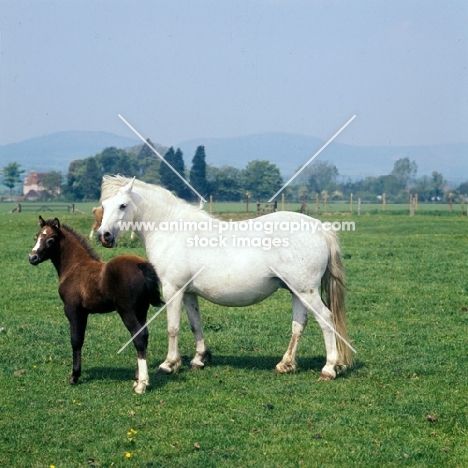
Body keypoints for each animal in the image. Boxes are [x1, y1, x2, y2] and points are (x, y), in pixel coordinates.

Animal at [99, 174, 354, 386]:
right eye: (103, 206)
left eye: (122, 205)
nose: (104, 236)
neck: (170, 229)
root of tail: (320, 228)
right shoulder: (189, 292)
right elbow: (195, 324)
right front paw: (199, 359)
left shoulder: (173, 290)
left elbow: (173, 328)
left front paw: (169, 364)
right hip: (297, 291)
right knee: (298, 325)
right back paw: (285, 364)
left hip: (306, 291)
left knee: (326, 319)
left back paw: (329, 368)